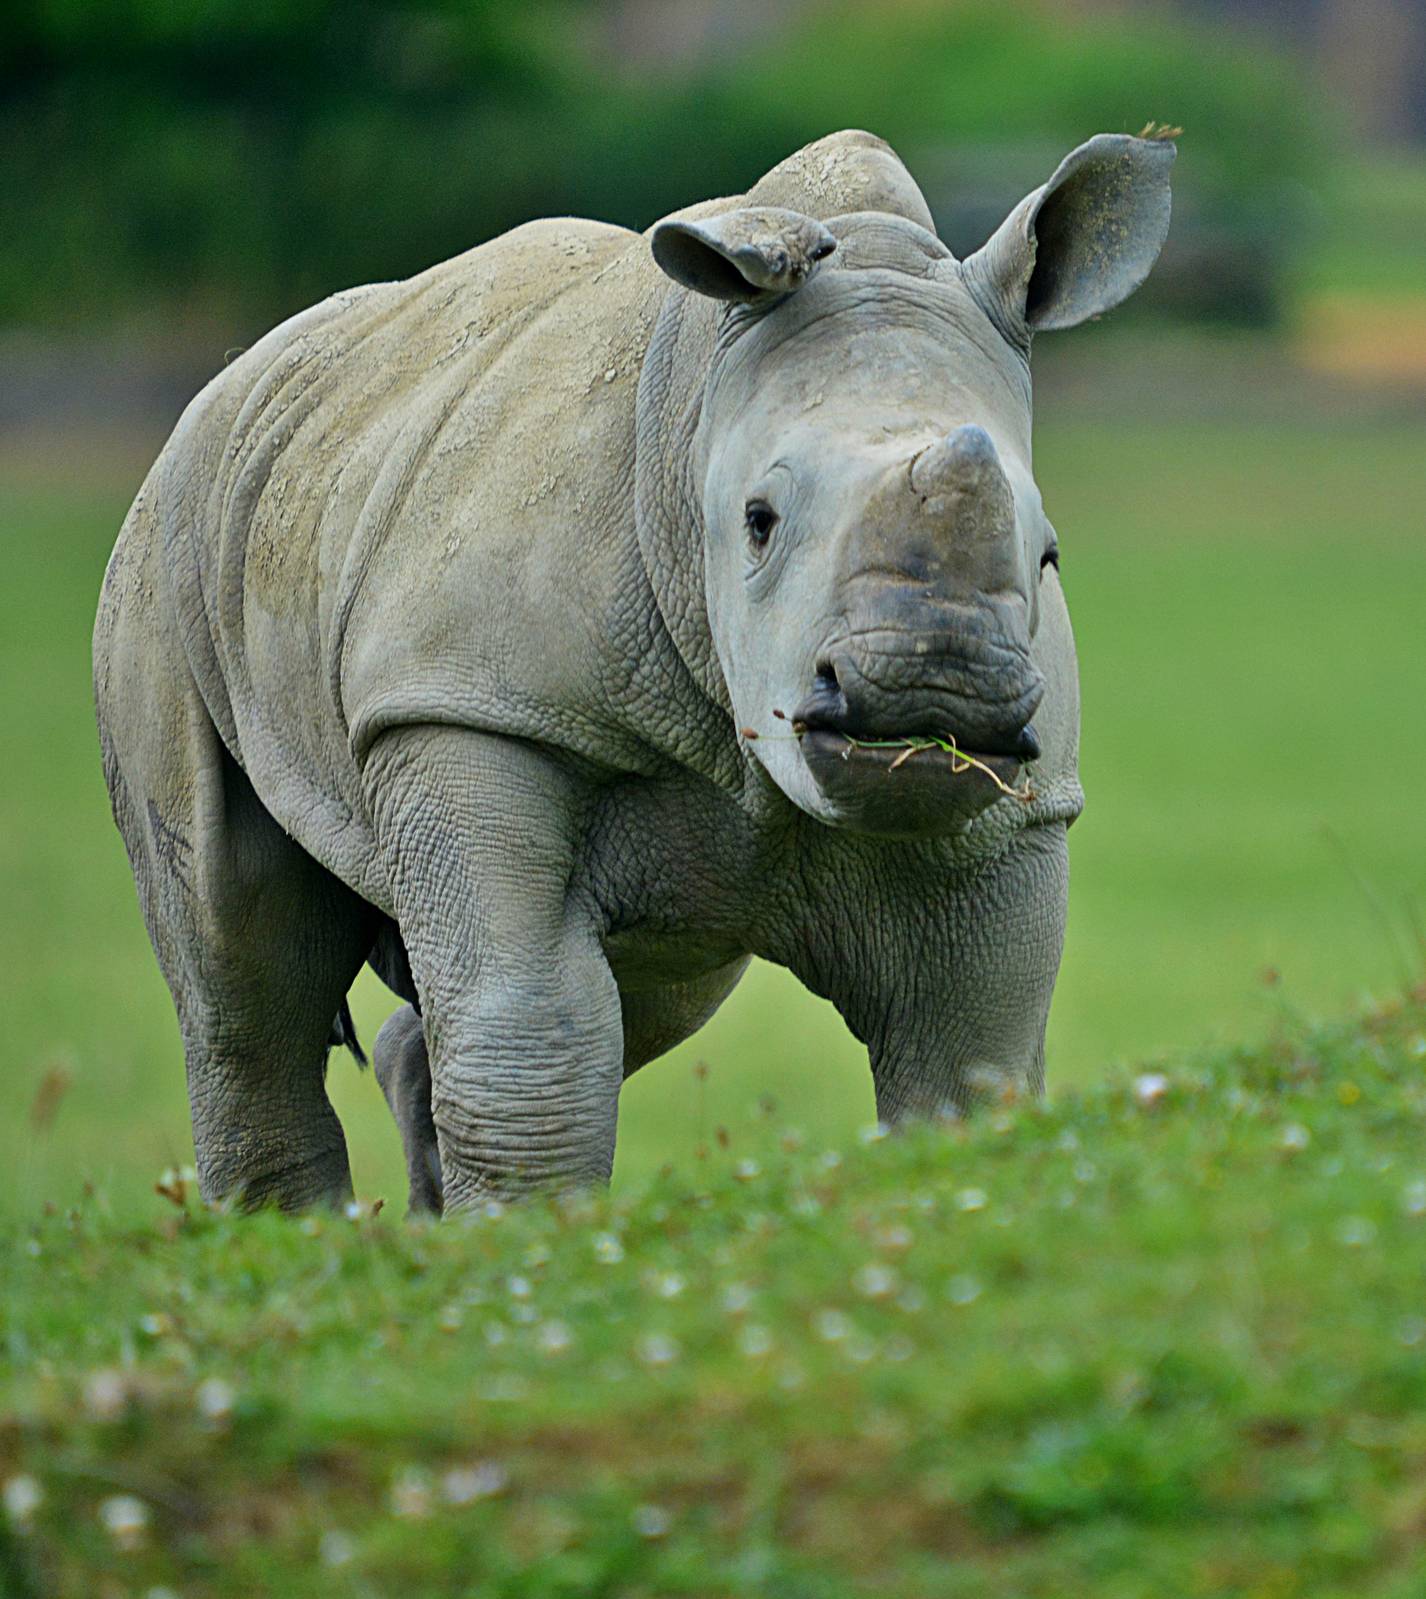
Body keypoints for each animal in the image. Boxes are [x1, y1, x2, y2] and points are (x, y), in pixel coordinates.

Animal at [94, 128, 1174, 1214]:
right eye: (757, 522)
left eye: (1047, 554)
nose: (929, 688)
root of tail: (235, 380)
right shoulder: (469, 706)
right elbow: (530, 1037)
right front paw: (520, 1235)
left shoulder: (1011, 804)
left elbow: (966, 1059)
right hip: (173, 540)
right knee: (242, 964)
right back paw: (286, 1235)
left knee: (650, 982)